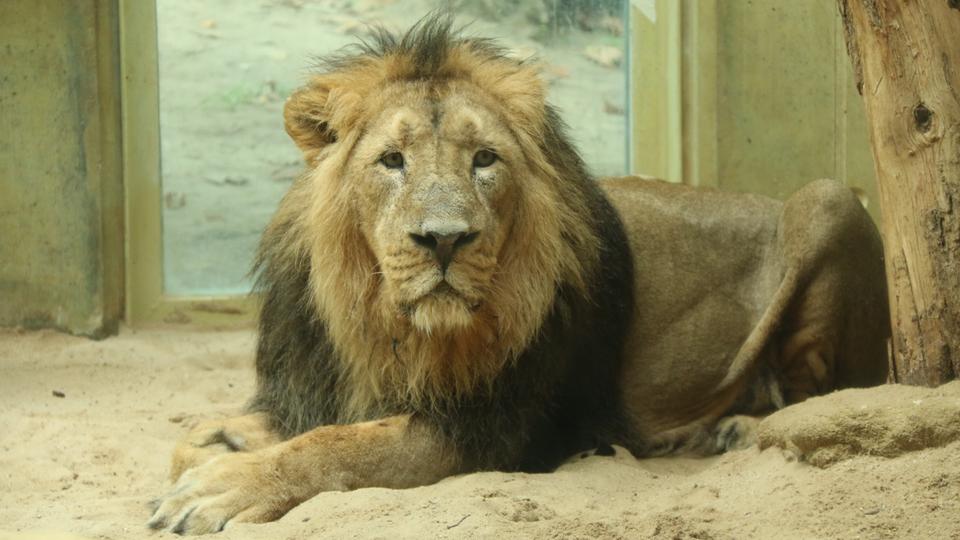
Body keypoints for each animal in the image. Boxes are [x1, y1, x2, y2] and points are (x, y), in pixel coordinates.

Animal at [148, 16, 892, 536]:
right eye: (391, 160)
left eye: (484, 159)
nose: (444, 239)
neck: (381, 326)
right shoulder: (301, 391)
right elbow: (196, 439)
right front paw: (213, 455)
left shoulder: (494, 428)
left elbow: (340, 449)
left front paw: (224, 487)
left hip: (829, 200)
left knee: (821, 389)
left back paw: (732, 428)